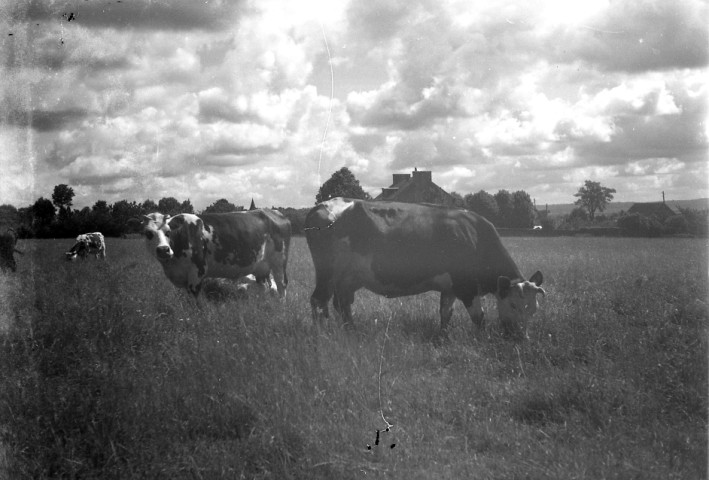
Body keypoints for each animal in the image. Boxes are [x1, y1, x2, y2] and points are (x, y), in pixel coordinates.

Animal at [140, 209, 291, 299]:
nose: (163, 249)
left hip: (279, 262)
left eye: (168, 231)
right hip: (260, 267)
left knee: (281, 285)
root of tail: (272, 211)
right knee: (264, 287)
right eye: (148, 233)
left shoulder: (197, 272)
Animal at [305, 198, 545, 339]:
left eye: (534, 309)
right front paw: (482, 338)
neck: (474, 236)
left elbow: (446, 313)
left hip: (347, 279)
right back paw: (321, 335)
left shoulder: (450, 288)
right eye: (513, 304)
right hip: (327, 273)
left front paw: (443, 337)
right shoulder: (466, 287)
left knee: (341, 304)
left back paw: (351, 332)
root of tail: (323, 204)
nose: (521, 338)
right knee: (318, 301)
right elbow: (479, 317)